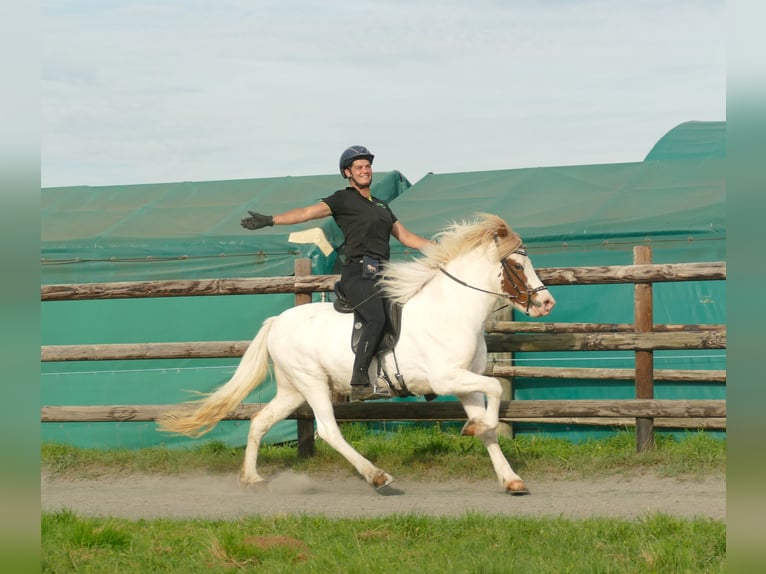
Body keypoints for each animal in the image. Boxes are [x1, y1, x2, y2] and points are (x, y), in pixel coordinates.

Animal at [159, 214, 560, 498]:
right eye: (517, 265)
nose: (546, 303)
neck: (452, 311)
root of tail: (277, 322)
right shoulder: (447, 378)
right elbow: (495, 388)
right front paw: (476, 428)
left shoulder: (464, 384)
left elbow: (489, 418)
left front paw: (510, 478)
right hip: (313, 383)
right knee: (328, 430)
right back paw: (377, 476)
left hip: (292, 389)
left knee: (260, 422)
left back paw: (252, 479)